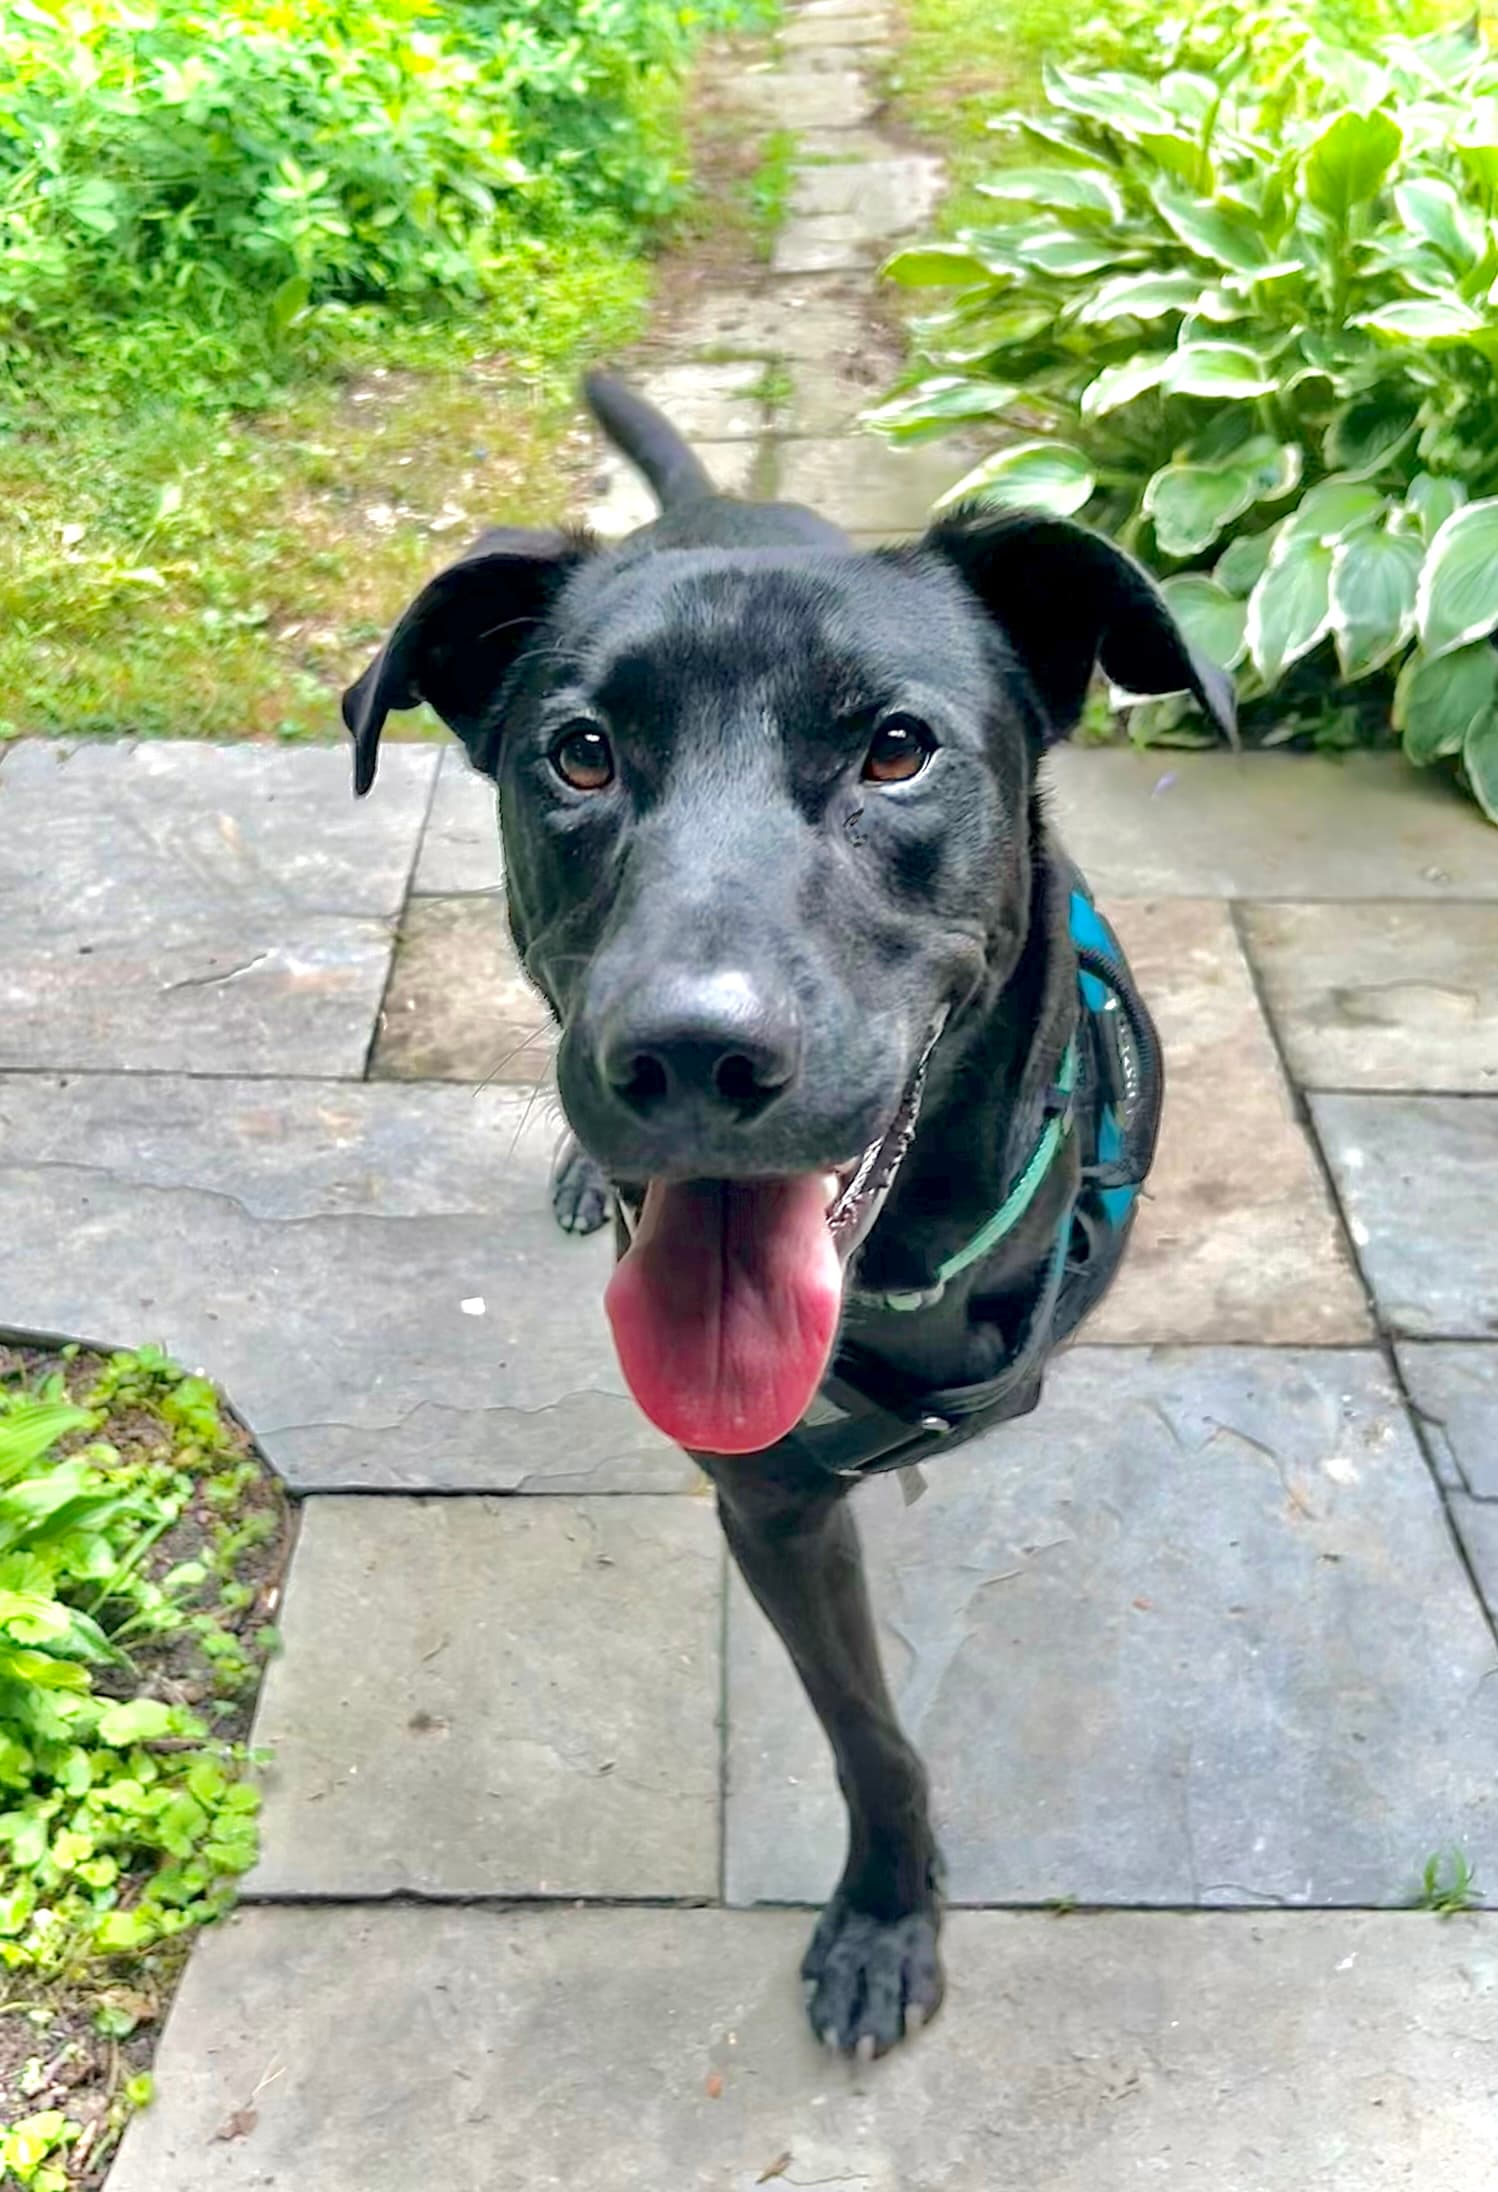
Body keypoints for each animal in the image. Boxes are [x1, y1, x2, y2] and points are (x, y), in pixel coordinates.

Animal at [346, 372, 1237, 2051]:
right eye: (579, 754)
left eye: (895, 749)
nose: (688, 1054)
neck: (906, 1266)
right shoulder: (767, 1508)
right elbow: (865, 1734)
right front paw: (888, 1913)